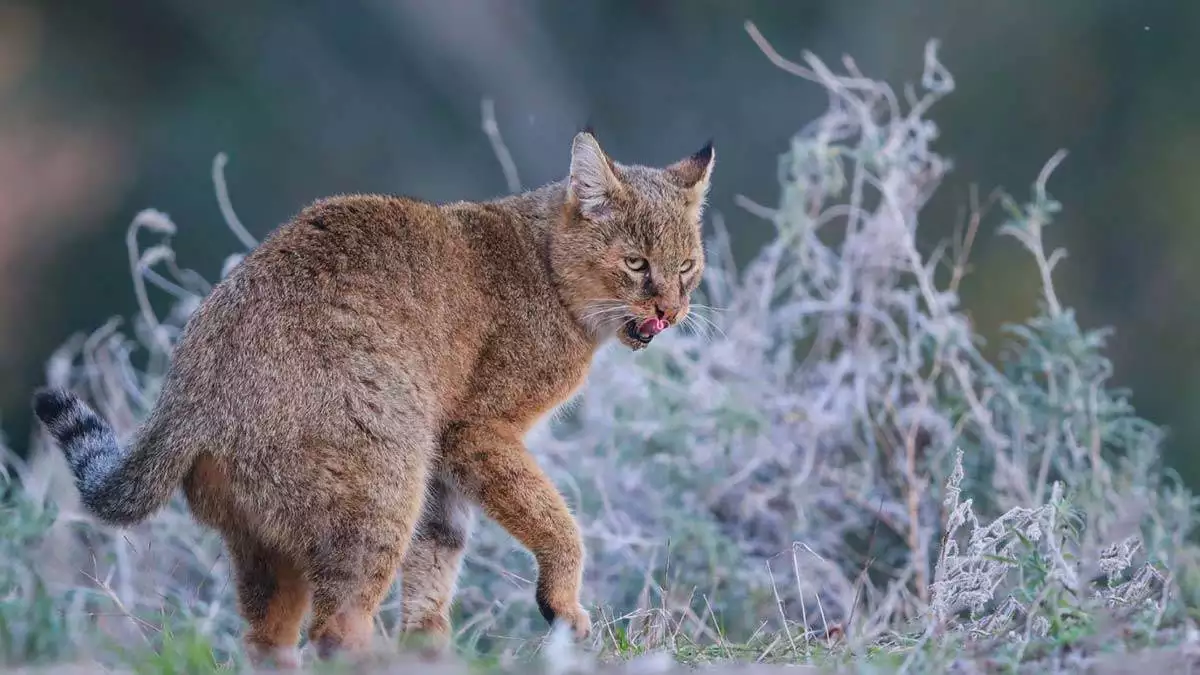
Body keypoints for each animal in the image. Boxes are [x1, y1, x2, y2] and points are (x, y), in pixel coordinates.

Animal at [32, 128, 710, 662]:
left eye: (687, 267)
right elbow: (556, 521)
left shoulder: (445, 471)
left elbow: (438, 563)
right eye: (636, 263)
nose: (671, 311)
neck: (545, 266)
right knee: (336, 629)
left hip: (272, 545)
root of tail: (190, 388)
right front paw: (563, 602)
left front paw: (431, 649)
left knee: (268, 640)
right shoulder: (477, 431)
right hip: (382, 488)